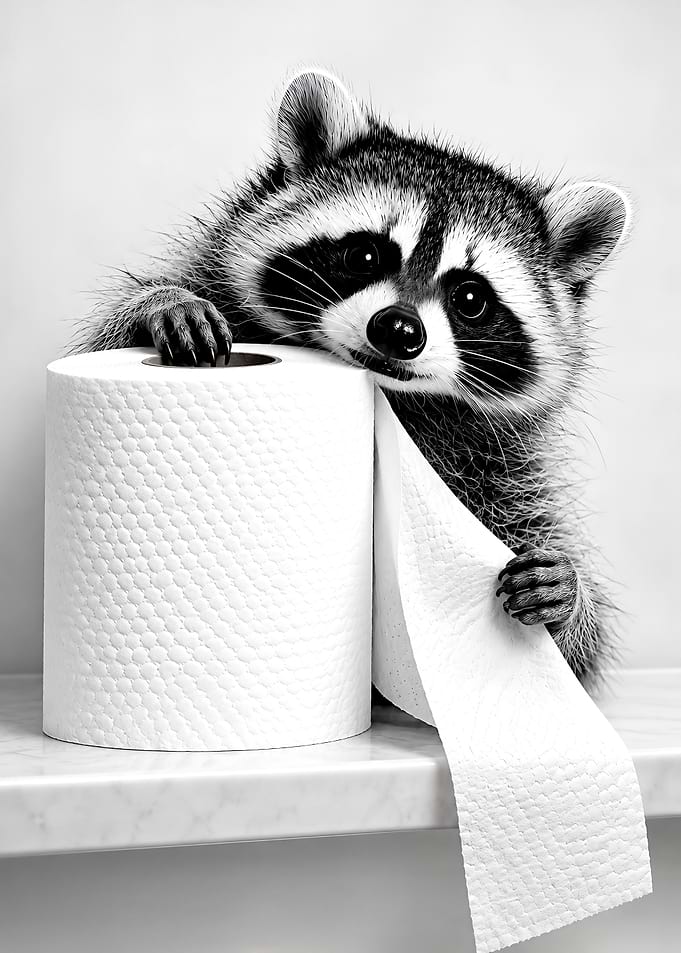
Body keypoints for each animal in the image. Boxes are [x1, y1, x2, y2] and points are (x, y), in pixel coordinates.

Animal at [72, 70, 631, 685]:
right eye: (365, 255)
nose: (399, 329)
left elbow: (578, 651)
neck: (397, 398)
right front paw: (162, 302)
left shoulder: (499, 474)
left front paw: (570, 600)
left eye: (470, 298)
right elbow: (116, 334)